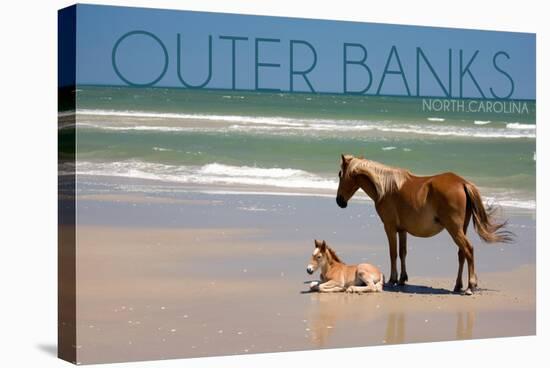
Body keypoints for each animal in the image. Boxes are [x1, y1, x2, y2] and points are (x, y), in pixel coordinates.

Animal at [338, 154, 516, 294]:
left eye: (340, 174)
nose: (339, 201)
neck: (387, 188)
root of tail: (463, 183)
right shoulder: (402, 230)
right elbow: (402, 253)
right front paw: (402, 279)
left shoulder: (389, 227)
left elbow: (393, 253)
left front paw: (392, 279)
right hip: (461, 229)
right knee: (461, 254)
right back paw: (458, 285)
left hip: (454, 229)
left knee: (468, 250)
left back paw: (470, 286)